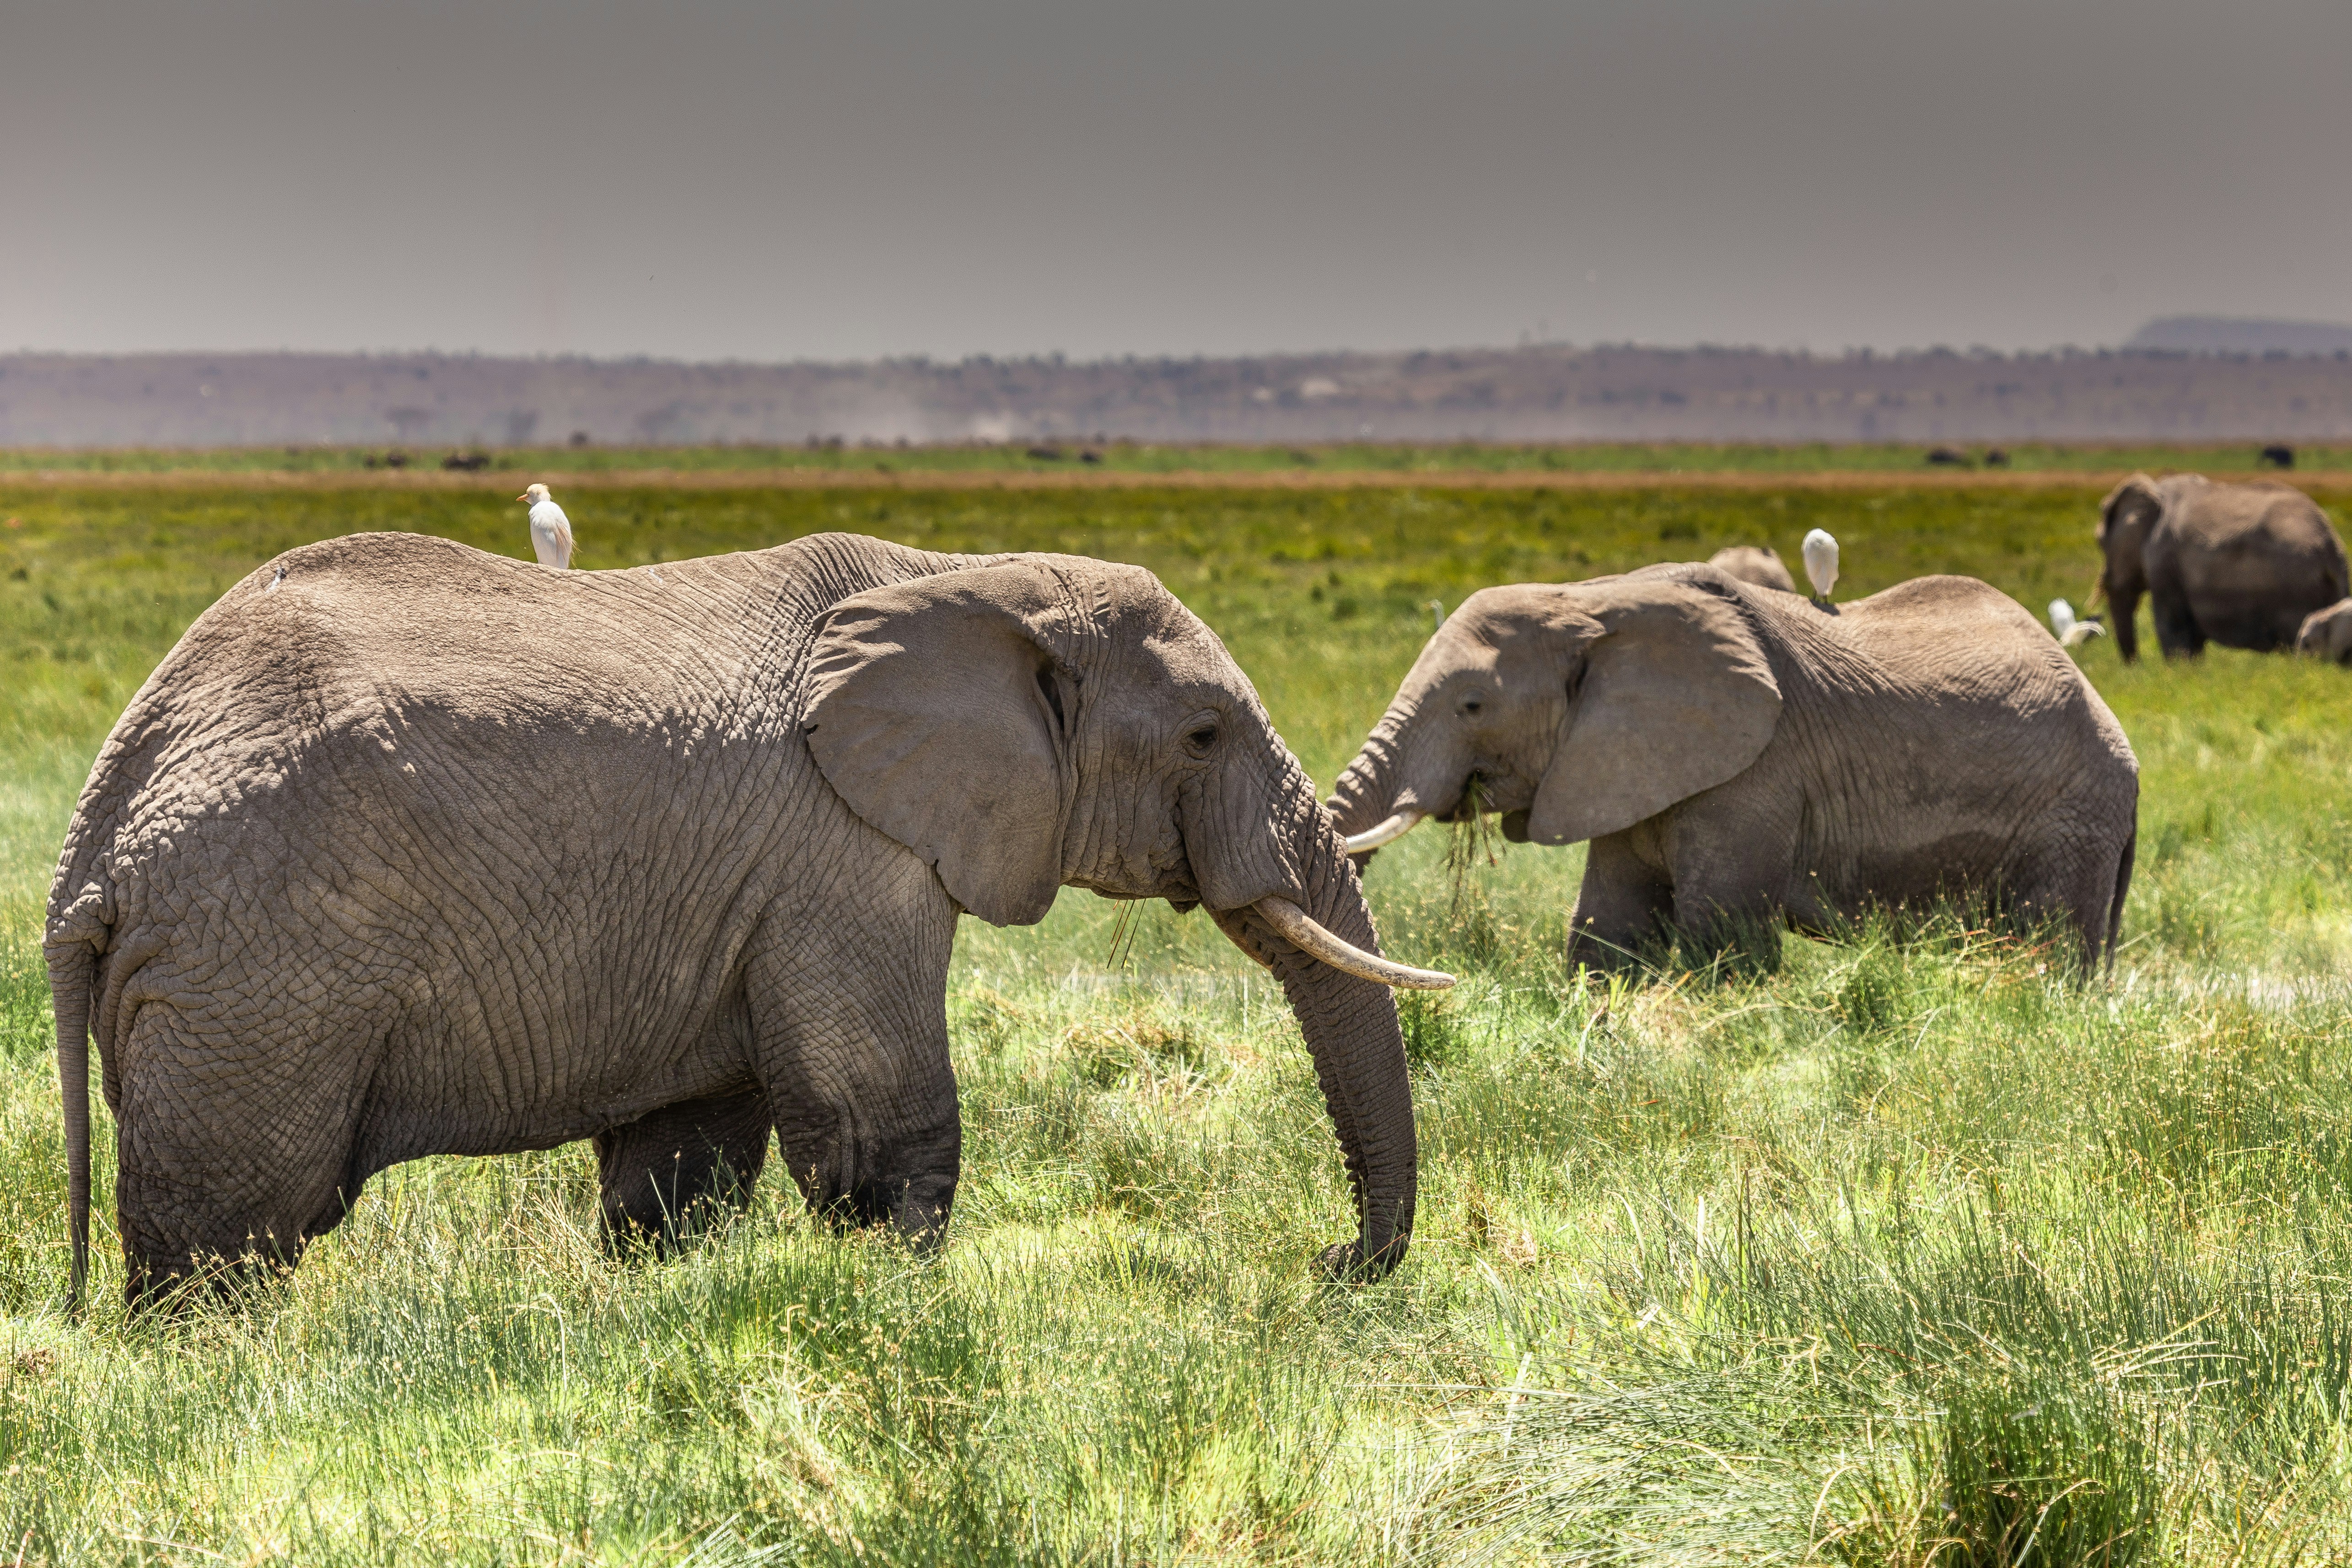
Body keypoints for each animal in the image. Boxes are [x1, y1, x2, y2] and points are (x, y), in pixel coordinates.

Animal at [48, 530, 1447, 1309]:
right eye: (1204, 734)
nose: (1330, 1264)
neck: (971, 574)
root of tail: (89, 850)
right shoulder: (839, 850)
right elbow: (882, 1132)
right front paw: (896, 1307)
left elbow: (681, 1172)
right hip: (254, 977)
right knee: (229, 1237)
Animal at [1325, 563, 2139, 975]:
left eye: (1471, 705)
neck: (1589, 600)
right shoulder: (1618, 761)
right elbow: (1607, 929)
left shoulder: (1754, 774)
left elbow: (1723, 933)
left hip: (2071, 817)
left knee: (2045, 950)